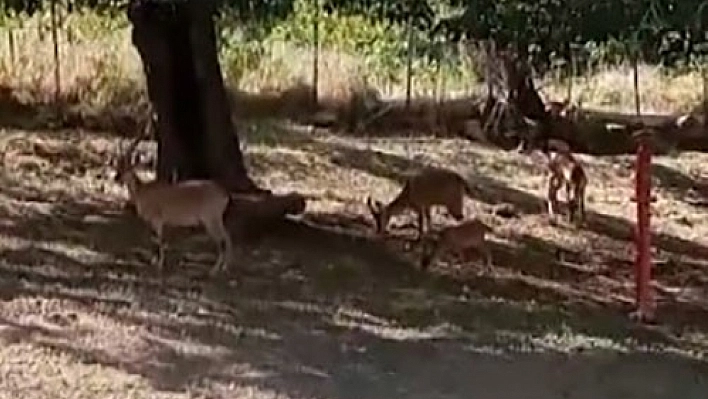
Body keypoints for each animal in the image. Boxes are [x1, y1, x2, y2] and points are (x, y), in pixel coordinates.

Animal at [113, 136, 235, 276]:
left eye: (127, 168)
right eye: (118, 166)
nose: (116, 178)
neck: (142, 192)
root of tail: (224, 195)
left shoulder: (157, 219)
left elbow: (159, 240)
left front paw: (159, 265)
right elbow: (155, 239)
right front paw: (154, 262)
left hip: (211, 219)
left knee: (222, 239)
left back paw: (215, 270)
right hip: (216, 219)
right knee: (227, 237)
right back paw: (225, 267)